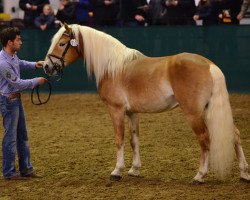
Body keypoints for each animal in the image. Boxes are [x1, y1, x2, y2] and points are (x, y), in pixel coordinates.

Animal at [42, 23, 249, 183]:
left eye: (62, 44)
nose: (47, 66)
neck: (113, 66)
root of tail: (209, 65)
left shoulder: (116, 110)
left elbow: (119, 139)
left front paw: (117, 171)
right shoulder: (131, 112)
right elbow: (134, 140)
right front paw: (134, 169)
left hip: (194, 114)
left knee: (205, 139)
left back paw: (199, 176)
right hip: (207, 110)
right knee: (235, 134)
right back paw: (244, 173)